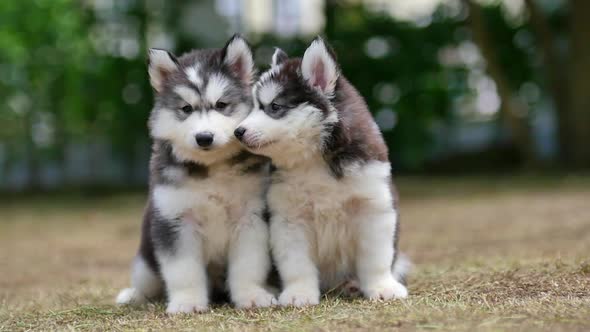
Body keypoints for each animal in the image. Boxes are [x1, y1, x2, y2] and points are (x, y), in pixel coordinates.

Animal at [115, 36, 278, 314]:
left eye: (221, 105)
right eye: (186, 108)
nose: (204, 137)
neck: (212, 169)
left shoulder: (250, 218)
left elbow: (248, 265)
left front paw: (252, 295)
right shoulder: (176, 220)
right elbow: (184, 270)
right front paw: (188, 302)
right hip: (145, 264)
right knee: (147, 284)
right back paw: (132, 296)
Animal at [234, 37, 410, 308]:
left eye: (274, 106)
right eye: (253, 107)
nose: (238, 132)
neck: (312, 160)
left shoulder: (374, 208)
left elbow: (376, 258)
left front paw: (382, 287)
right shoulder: (289, 218)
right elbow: (296, 264)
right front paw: (299, 293)